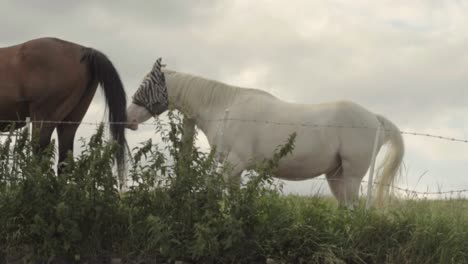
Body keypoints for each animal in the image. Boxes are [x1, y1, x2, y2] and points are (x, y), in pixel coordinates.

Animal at [126, 67, 404, 206]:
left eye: (146, 84)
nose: (128, 118)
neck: (225, 108)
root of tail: (374, 118)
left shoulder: (234, 165)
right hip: (335, 176)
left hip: (352, 175)